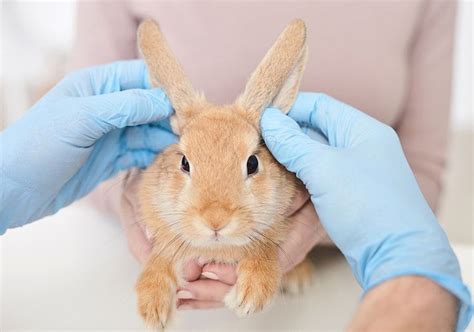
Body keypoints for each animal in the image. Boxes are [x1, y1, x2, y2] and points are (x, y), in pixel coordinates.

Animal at [135, 18, 312, 330]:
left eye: (252, 163)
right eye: (185, 163)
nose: (215, 219)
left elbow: (263, 248)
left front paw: (251, 296)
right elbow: (160, 258)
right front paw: (153, 309)